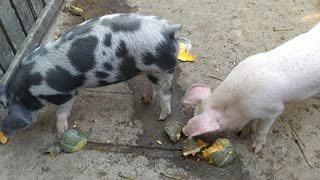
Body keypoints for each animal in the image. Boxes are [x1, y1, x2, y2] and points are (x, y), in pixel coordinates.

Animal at [0, 13, 190, 138]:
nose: (5, 131)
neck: (30, 88)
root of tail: (169, 29)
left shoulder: (66, 94)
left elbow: (61, 114)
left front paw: (60, 133)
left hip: (163, 69)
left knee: (167, 93)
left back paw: (161, 117)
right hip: (152, 69)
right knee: (153, 86)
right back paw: (145, 100)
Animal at [181, 22, 320, 152]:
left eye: (212, 130)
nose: (184, 131)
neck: (239, 103)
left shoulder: (274, 110)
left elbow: (261, 130)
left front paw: (255, 149)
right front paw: (242, 133)